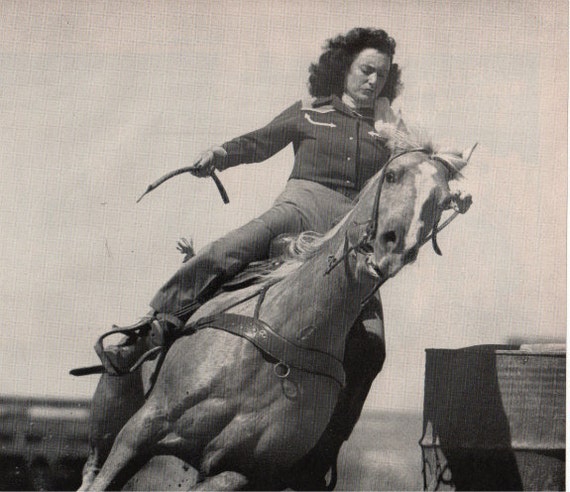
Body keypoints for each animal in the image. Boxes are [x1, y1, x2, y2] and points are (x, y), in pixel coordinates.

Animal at [79, 129, 470, 490]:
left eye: (443, 200)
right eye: (392, 175)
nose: (395, 247)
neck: (286, 333)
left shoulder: (238, 472)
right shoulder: (142, 429)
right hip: (112, 410)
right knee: (92, 469)